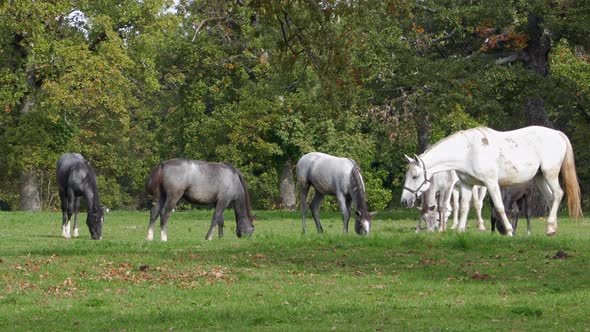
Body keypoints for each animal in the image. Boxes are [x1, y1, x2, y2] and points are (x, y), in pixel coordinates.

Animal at [400, 126, 584, 237]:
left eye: (415, 176)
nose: (404, 201)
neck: (467, 151)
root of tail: (558, 134)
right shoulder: (467, 185)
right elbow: (465, 208)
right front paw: (460, 231)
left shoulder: (491, 183)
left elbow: (500, 207)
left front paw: (509, 230)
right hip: (540, 177)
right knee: (551, 198)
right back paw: (551, 229)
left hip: (549, 174)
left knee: (558, 194)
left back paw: (550, 227)